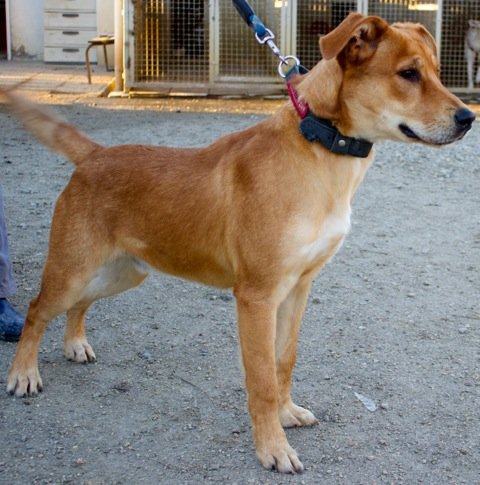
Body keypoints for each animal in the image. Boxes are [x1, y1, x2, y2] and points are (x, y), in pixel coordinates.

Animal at [3, 12, 474, 472]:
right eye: (408, 73)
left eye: (437, 72)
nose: (468, 119)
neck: (318, 149)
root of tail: (95, 155)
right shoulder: (256, 297)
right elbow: (262, 378)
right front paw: (273, 448)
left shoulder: (297, 290)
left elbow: (284, 362)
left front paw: (287, 413)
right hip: (72, 269)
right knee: (36, 309)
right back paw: (23, 373)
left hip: (122, 273)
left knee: (79, 305)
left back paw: (75, 343)